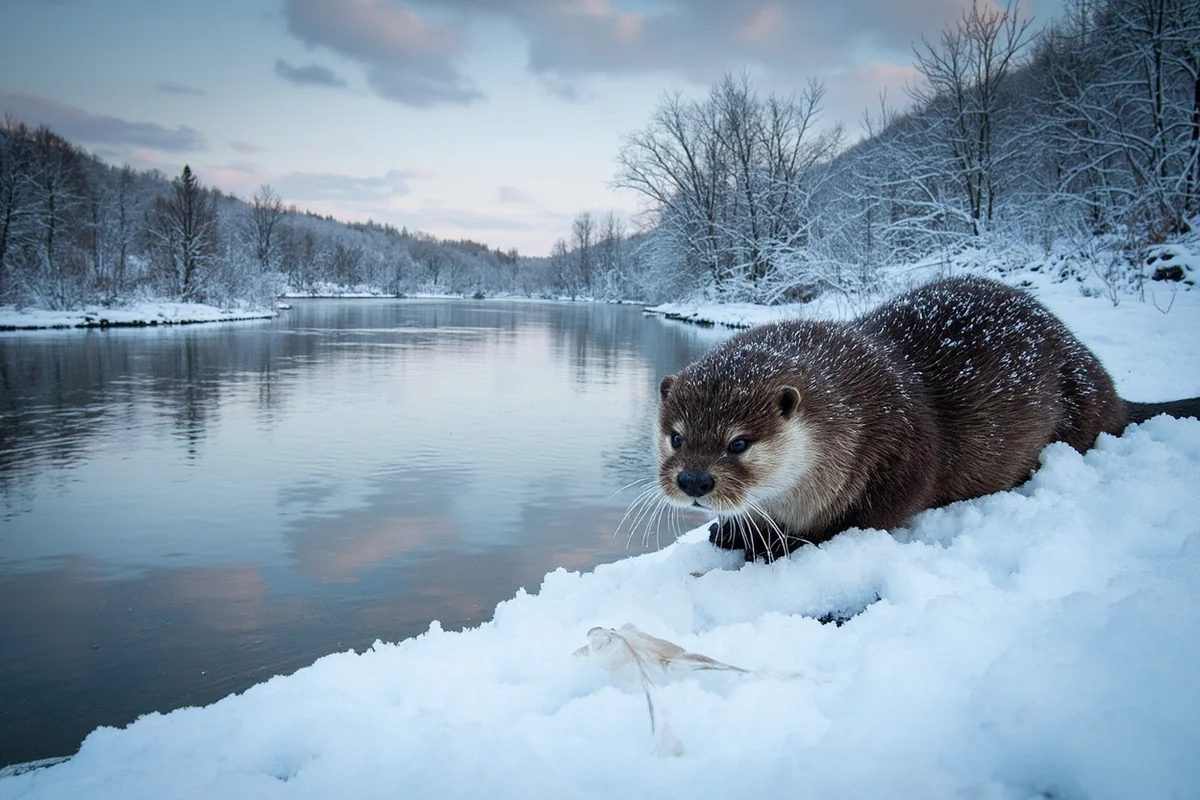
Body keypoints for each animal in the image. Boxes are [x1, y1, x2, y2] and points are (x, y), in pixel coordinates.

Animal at [656, 276, 1200, 561]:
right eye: (677, 438)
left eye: (739, 443)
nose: (694, 480)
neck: (855, 411)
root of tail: (1105, 383)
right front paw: (735, 531)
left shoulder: (900, 449)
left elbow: (874, 515)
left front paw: (781, 543)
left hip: (1079, 413)